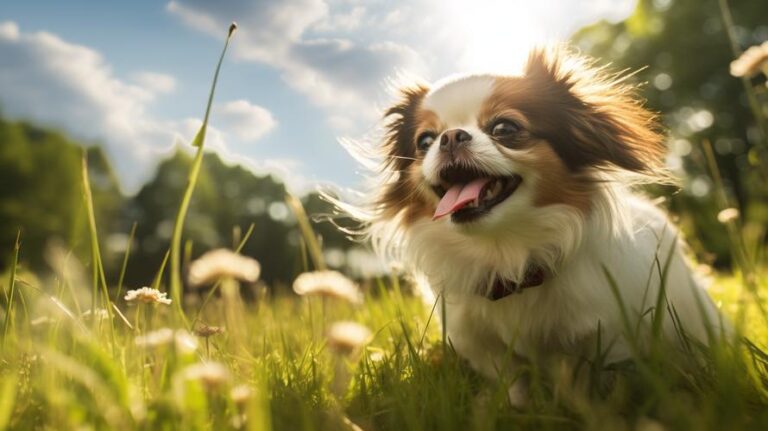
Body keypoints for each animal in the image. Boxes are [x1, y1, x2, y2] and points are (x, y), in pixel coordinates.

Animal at [336, 46, 728, 404]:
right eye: (425, 141)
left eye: (504, 128)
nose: (450, 137)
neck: (508, 253)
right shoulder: (486, 348)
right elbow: (514, 387)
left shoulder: (606, 338)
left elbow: (590, 388)